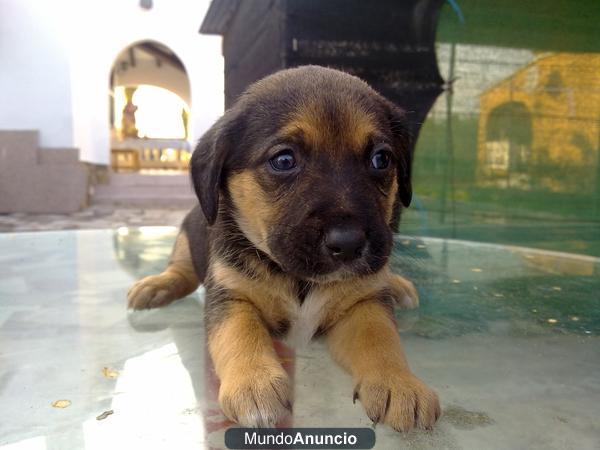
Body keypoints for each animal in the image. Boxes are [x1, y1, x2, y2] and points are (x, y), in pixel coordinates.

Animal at [129, 65, 440, 430]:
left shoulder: (363, 305)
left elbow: (380, 339)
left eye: (381, 159)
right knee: (181, 268)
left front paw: (398, 383)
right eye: (284, 160)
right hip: (187, 232)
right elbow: (240, 332)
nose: (349, 243)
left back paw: (397, 283)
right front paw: (254, 383)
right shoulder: (231, 297)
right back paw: (157, 285)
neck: (298, 278)